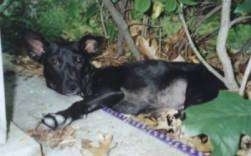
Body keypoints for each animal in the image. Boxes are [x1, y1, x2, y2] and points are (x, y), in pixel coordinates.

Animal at [25, 32, 226, 130]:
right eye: (54, 62)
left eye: (79, 60)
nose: (72, 87)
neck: (89, 78)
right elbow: (86, 104)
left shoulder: (111, 92)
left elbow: (80, 103)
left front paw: (60, 117)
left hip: (197, 96)